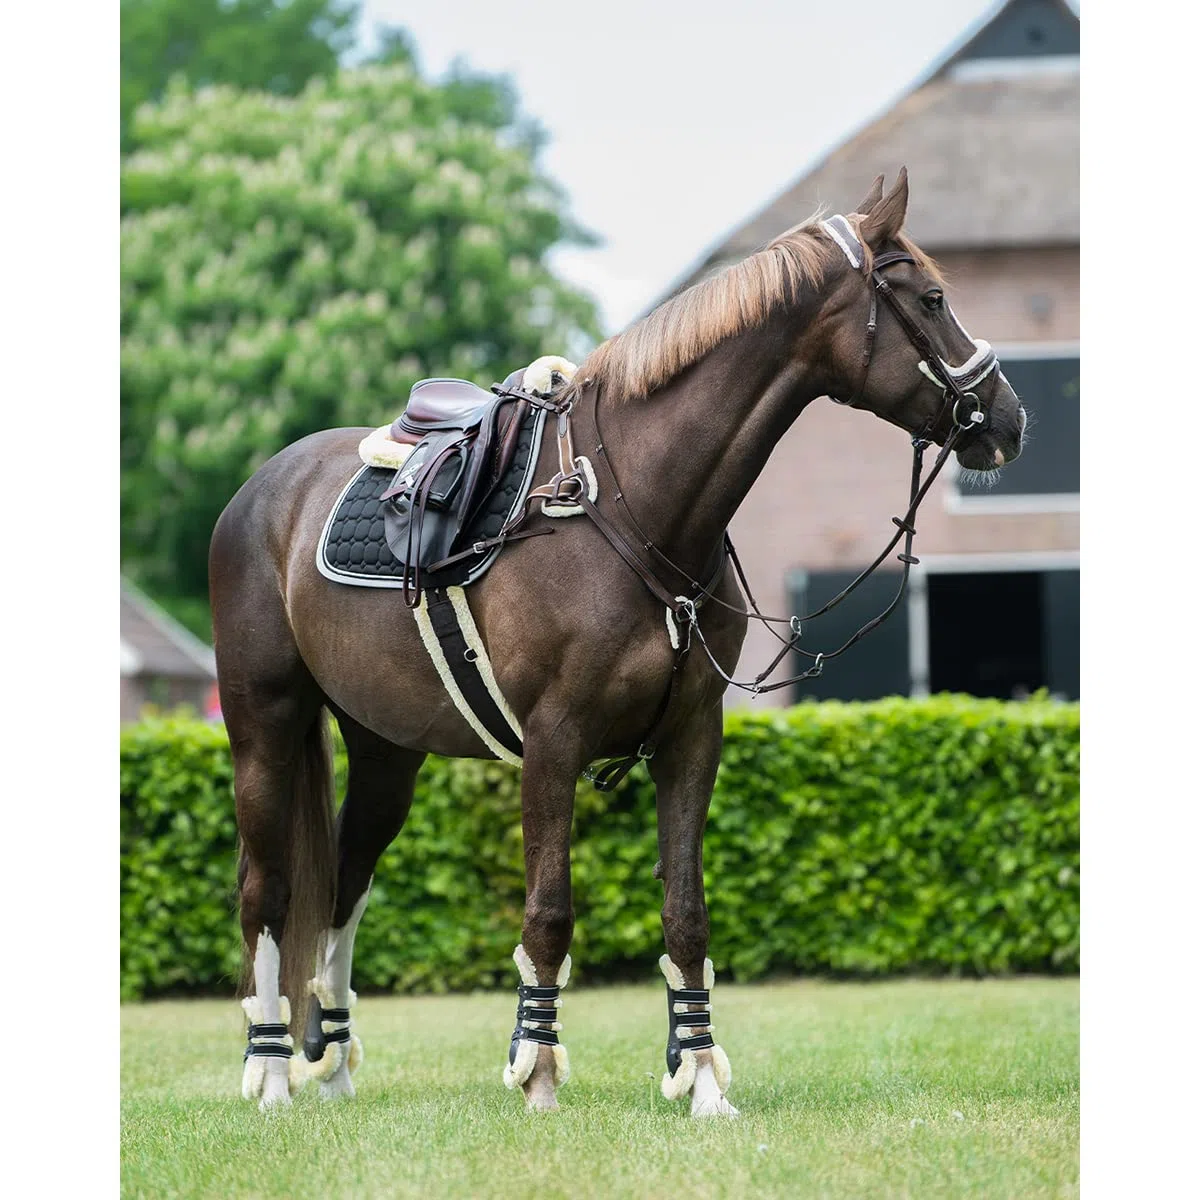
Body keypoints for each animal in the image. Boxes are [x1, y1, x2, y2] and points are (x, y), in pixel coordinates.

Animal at [209, 169, 1026, 1117]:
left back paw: (334, 1064)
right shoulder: (552, 743)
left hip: (385, 753)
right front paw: (538, 1073)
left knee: (343, 883)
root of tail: (263, 490)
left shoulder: (691, 737)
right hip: (264, 728)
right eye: (931, 299)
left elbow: (687, 913)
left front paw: (700, 1078)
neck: (632, 505)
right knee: (268, 893)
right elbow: (548, 911)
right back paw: (271, 1072)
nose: (1010, 419)